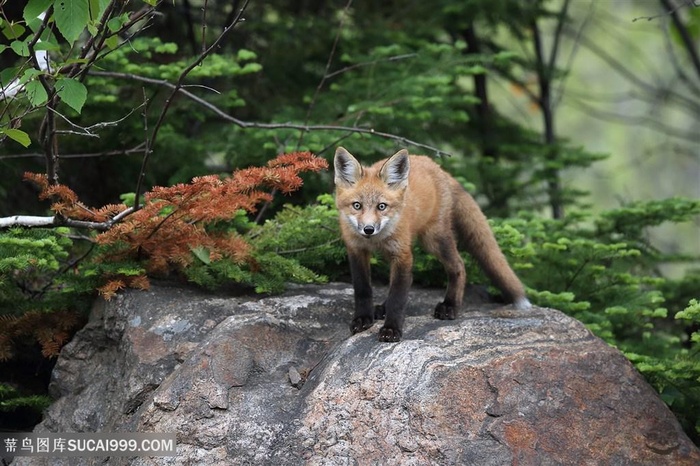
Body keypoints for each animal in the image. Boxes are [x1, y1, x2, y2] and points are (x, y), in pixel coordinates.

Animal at [334, 146, 532, 342]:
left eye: (381, 206)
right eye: (357, 205)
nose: (368, 229)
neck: (376, 240)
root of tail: (437, 167)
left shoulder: (402, 254)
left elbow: (398, 295)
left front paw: (391, 328)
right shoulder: (356, 250)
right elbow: (363, 289)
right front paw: (362, 319)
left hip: (434, 239)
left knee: (459, 266)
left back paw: (450, 305)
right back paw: (382, 308)